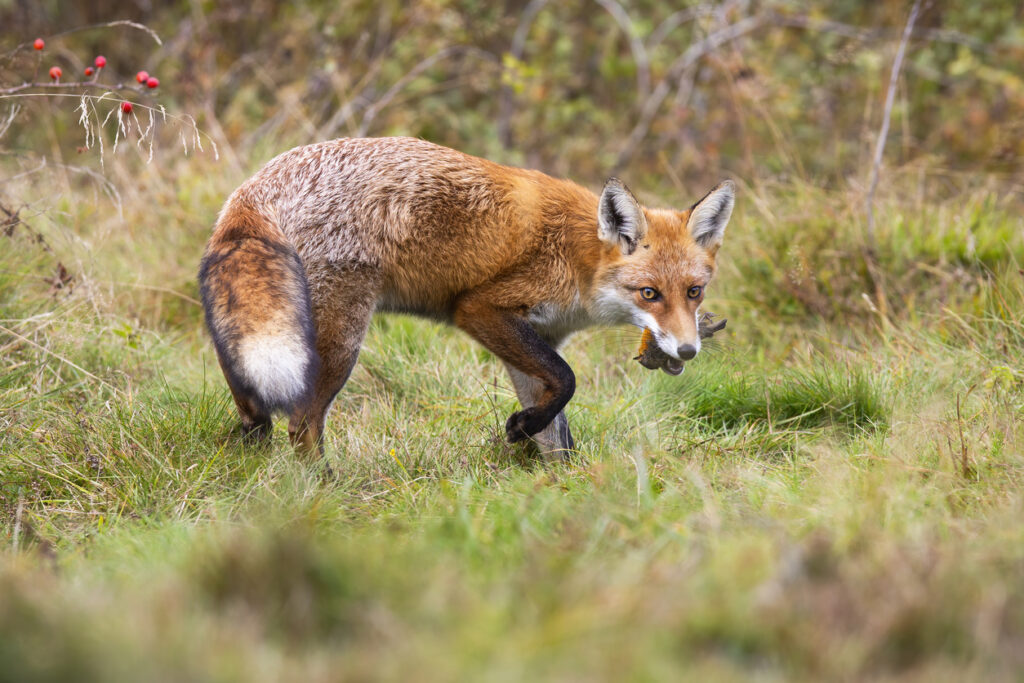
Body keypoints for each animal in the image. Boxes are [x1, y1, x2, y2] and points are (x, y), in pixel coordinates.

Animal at [197, 137, 729, 462]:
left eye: (694, 292)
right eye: (649, 293)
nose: (687, 351)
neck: (575, 258)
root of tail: (255, 185)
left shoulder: (540, 334)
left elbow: (556, 424)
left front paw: (560, 480)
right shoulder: (481, 309)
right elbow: (567, 380)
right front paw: (522, 431)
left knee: (252, 407)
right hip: (341, 339)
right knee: (303, 425)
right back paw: (322, 487)